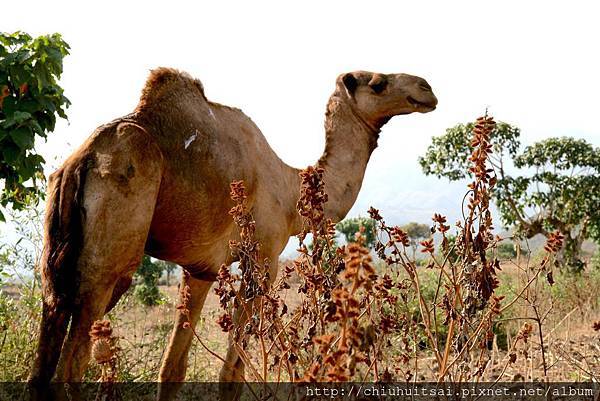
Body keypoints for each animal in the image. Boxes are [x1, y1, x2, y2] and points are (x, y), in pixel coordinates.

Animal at [28, 68, 436, 396]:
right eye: (378, 83)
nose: (427, 88)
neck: (291, 190)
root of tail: (81, 162)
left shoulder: (200, 270)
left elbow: (171, 370)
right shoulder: (263, 258)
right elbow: (231, 375)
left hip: (55, 264)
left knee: (42, 359)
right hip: (109, 262)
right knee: (69, 369)